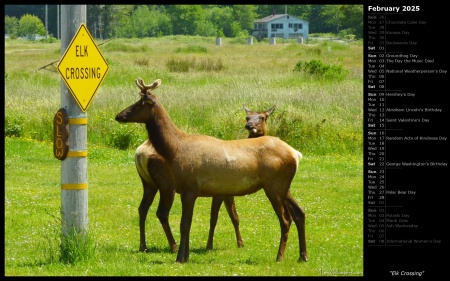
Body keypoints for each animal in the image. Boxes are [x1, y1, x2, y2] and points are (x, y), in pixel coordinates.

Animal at [134, 103, 274, 252]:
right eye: (247, 117)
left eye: (262, 117)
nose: (249, 125)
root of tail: (140, 153)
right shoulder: (220, 192)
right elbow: (214, 218)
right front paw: (210, 245)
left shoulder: (229, 191)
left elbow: (234, 216)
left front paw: (240, 243)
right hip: (166, 184)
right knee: (162, 212)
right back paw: (174, 246)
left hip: (149, 183)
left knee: (142, 208)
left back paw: (143, 246)